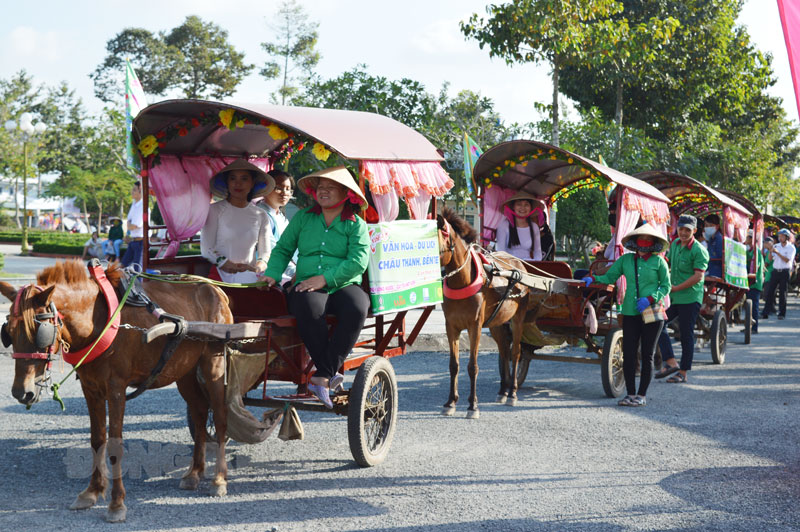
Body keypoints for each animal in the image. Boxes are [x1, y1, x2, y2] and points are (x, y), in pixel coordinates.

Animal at [1, 260, 234, 520]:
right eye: (8, 333)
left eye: (39, 332)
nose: (22, 392)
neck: (98, 321)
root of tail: (215, 288)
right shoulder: (90, 388)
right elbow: (97, 440)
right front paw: (92, 491)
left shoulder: (116, 389)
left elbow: (114, 444)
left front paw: (116, 503)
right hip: (184, 370)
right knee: (200, 412)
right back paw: (195, 472)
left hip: (214, 363)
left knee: (220, 417)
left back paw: (219, 479)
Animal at [438, 210, 544, 418]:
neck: (463, 280)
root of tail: (520, 265)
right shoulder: (451, 326)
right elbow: (454, 365)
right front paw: (450, 402)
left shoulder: (475, 326)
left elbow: (473, 366)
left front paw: (473, 406)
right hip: (497, 323)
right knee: (504, 351)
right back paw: (503, 390)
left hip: (518, 318)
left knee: (515, 353)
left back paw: (512, 393)